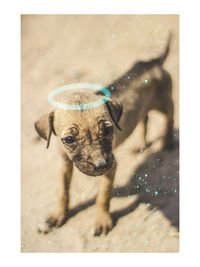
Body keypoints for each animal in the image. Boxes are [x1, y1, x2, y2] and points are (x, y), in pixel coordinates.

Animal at [35, 35, 174, 237]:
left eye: (108, 131)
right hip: (144, 107)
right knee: (144, 119)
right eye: (69, 140)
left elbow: (103, 195)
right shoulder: (64, 164)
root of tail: (151, 62)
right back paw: (140, 145)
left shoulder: (112, 167)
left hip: (164, 102)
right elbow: (63, 191)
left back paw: (168, 142)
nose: (101, 165)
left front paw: (102, 220)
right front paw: (58, 215)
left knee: (170, 117)